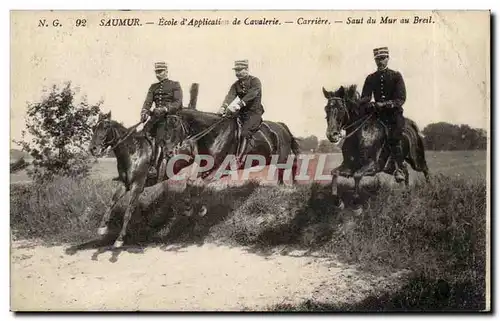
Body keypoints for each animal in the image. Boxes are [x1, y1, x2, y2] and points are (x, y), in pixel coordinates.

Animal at [88, 111, 156, 246]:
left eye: (106, 127)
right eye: (94, 128)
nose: (93, 149)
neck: (133, 153)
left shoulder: (137, 186)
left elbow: (128, 212)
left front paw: (120, 239)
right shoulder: (124, 184)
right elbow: (111, 202)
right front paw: (102, 228)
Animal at [160, 107, 300, 184]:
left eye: (174, 126)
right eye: (164, 128)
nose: (167, 152)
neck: (215, 133)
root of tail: (281, 126)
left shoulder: (218, 168)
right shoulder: (206, 167)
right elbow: (190, 182)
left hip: (283, 157)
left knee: (289, 167)